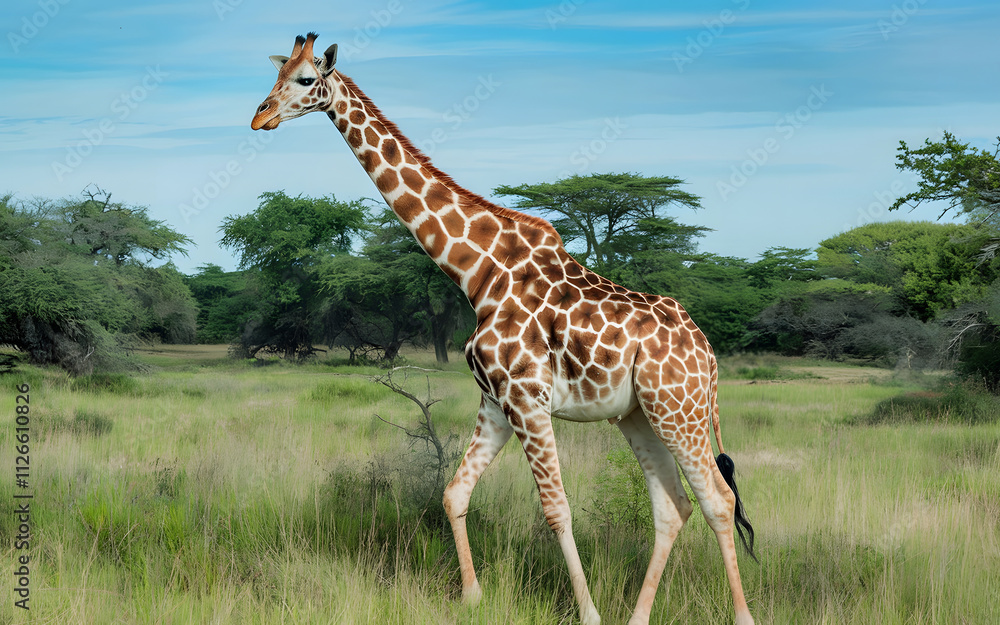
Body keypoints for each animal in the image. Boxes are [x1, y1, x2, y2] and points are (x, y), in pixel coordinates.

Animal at [251, 33, 756, 625]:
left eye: (306, 78)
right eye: (276, 72)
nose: (260, 116)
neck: (477, 272)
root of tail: (709, 355)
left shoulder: (527, 399)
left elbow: (557, 510)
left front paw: (588, 614)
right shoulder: (495, 400)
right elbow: (454, 494)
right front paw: (472, 596)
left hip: (680, 410)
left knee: (718, 501)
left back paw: (741, 616)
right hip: (639, 414)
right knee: (674, 506)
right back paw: (638, 617)